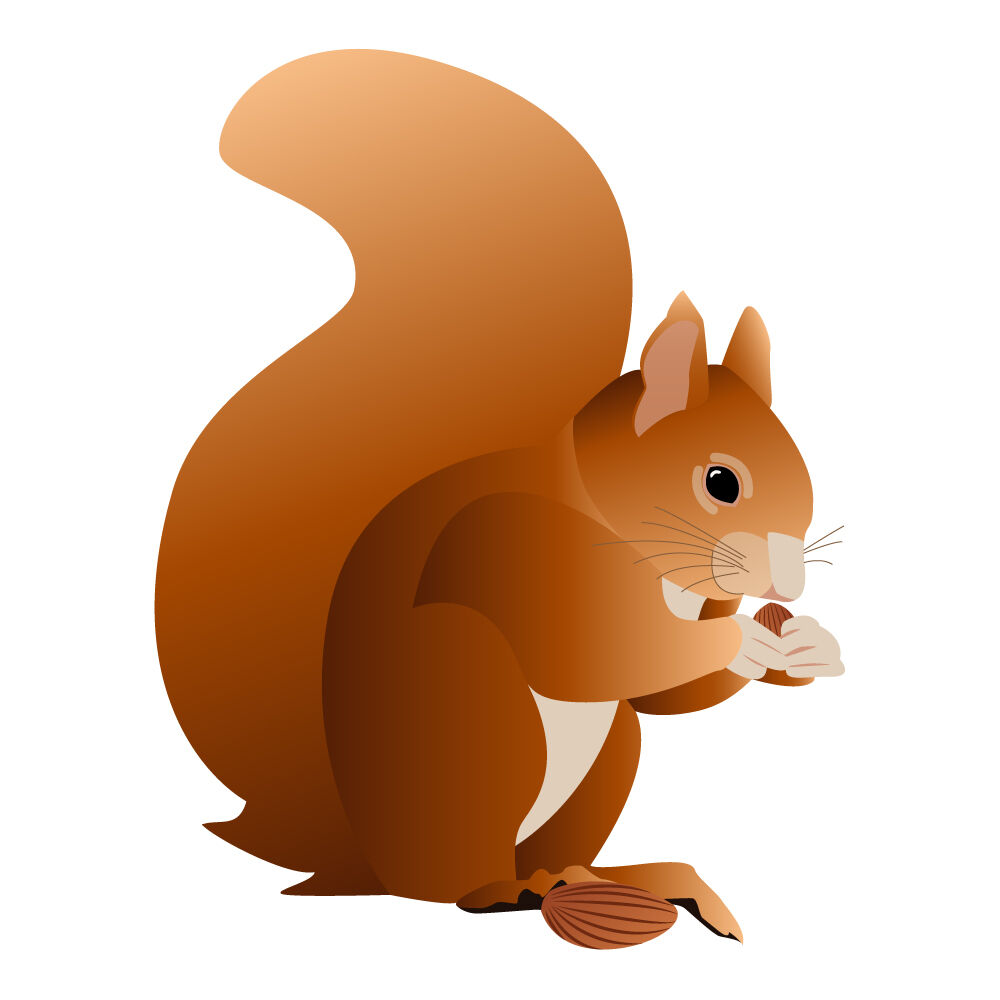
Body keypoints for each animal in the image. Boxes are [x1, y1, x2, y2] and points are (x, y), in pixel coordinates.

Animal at [155, 49, 844, 944]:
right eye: (720, 481)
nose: (786, 586)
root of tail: (367, 865)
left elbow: (665, 698)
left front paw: (808, 649)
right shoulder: (532, 548)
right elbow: (602, 657)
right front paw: (749, 642)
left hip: (600, 763)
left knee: (564, 841)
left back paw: (632, 879)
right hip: (476, 716)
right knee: (467, 888)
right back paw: (545, 894)